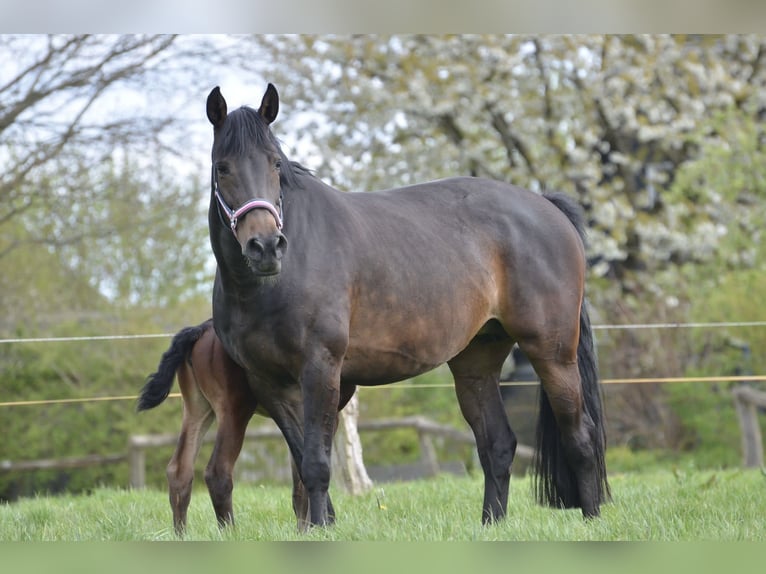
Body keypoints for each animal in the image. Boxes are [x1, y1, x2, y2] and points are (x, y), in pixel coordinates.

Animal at [138, 320, 354, 536]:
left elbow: (299, 477)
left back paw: (181, 535)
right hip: (234, 409)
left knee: (179, 470)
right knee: (218, 471)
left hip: (197, 408)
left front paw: (303, 530)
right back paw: (230, 533)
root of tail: (202, 329)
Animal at [206, 83, 612, 528]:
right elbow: (301, 459)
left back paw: (592, 520)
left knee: (581, 435)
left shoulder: (321, 369)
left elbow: (315, 463)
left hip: (551, 352)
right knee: (497, 444)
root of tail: (547, 205)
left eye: (276, 164)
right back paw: (492, 523)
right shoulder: (269, 383)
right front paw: (318, 525)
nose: (265, 246)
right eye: (222, 168)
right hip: (476, 361)